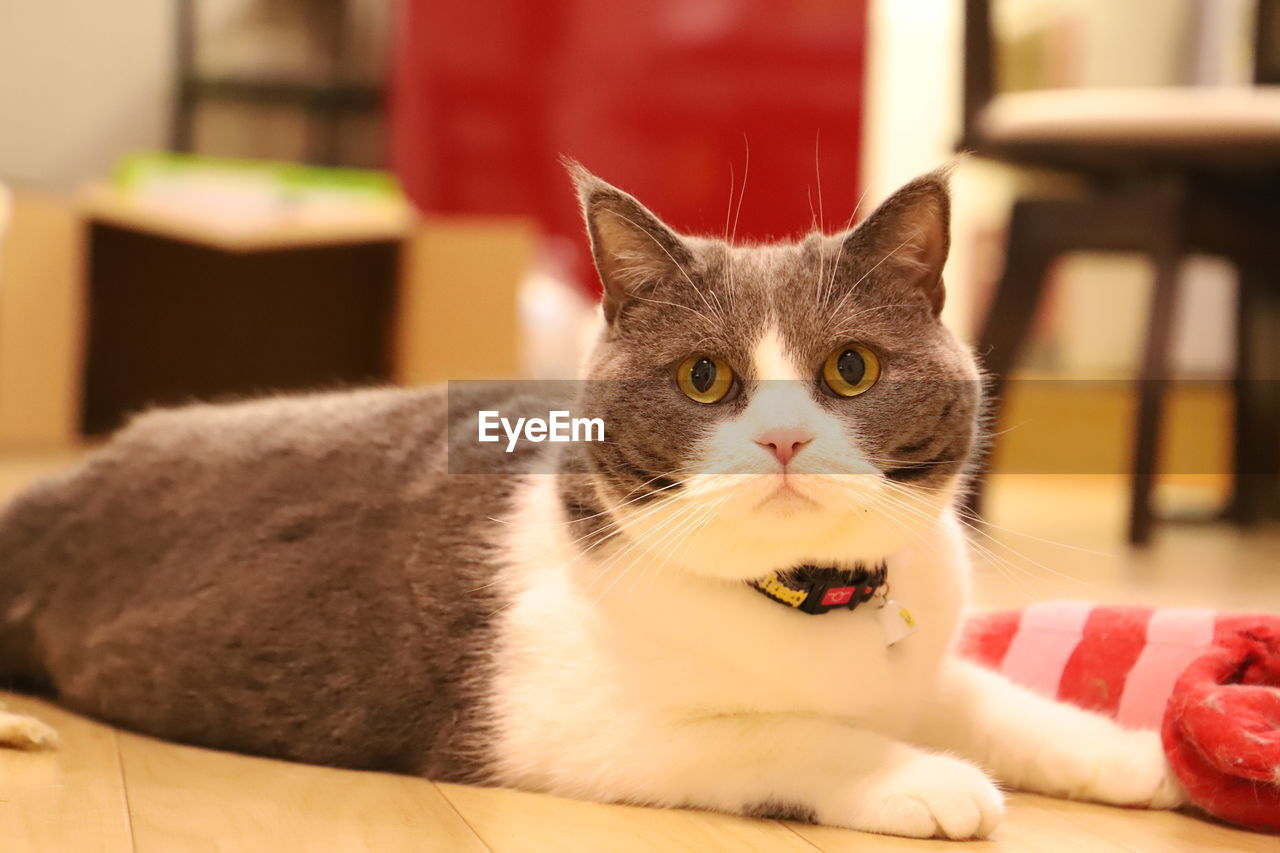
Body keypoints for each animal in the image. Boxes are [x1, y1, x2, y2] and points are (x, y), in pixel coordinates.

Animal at [0, 162, 1182, 835]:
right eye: (704, 377)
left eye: (850, 368)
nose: (785, 438)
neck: (810, 604)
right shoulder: (558, 721)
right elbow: (779, 734)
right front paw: (925, 778)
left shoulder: (916, 661)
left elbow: (994, 697)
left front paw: (1141, 756)